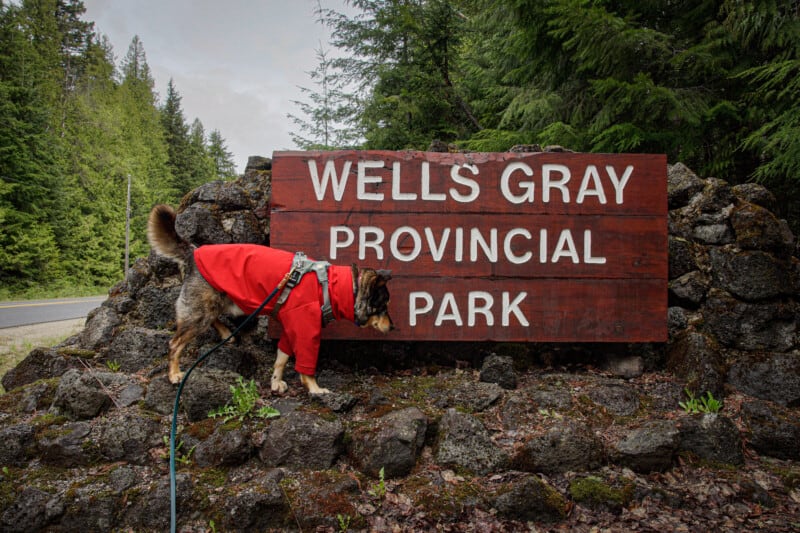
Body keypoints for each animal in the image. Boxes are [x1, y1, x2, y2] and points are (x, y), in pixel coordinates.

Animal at [148, 204, 396, 394]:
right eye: (382, 306)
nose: (393, 327)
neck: (329, 286)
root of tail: (193, 252)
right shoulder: (306, 331)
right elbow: (305, 366)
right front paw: (315, 389)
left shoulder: (290, 329)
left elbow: (281, 359)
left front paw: (276, 383)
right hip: (200, 311)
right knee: (175, 344)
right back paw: (174, 373)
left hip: (214, 304)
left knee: (212, 320)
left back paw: (227, 333)